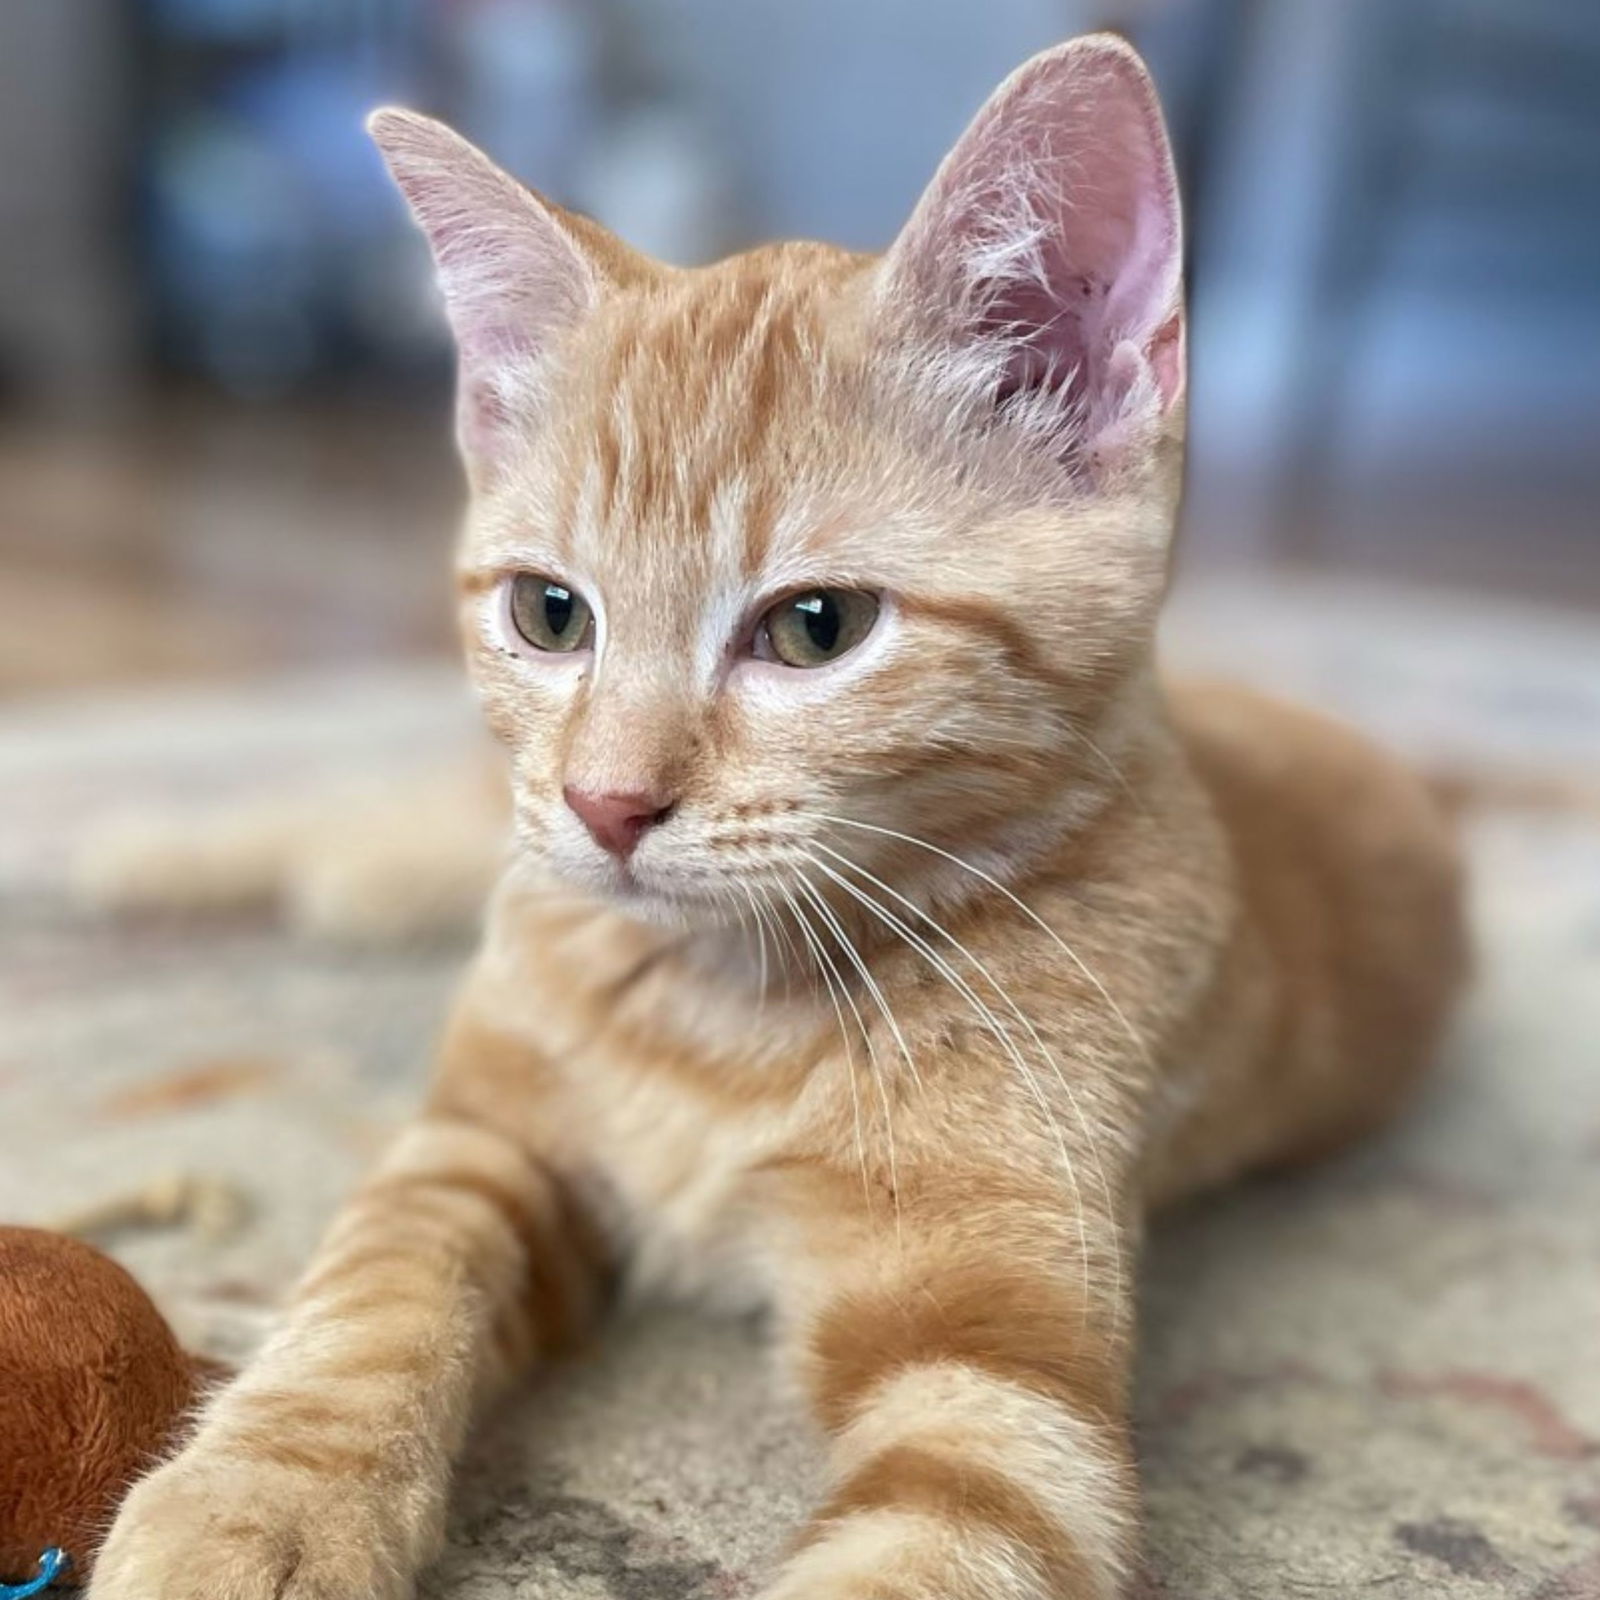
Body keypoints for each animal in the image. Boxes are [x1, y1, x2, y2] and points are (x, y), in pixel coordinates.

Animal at [87, 37, 1465, 1600]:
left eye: (818, 627)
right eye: (549, 613)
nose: (606, 803)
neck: (719, 1007)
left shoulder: (998, 1365)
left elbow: (954, 1519)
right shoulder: (477, 1144)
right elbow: (373, 1292)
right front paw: (261, 1495)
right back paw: (150, 852)